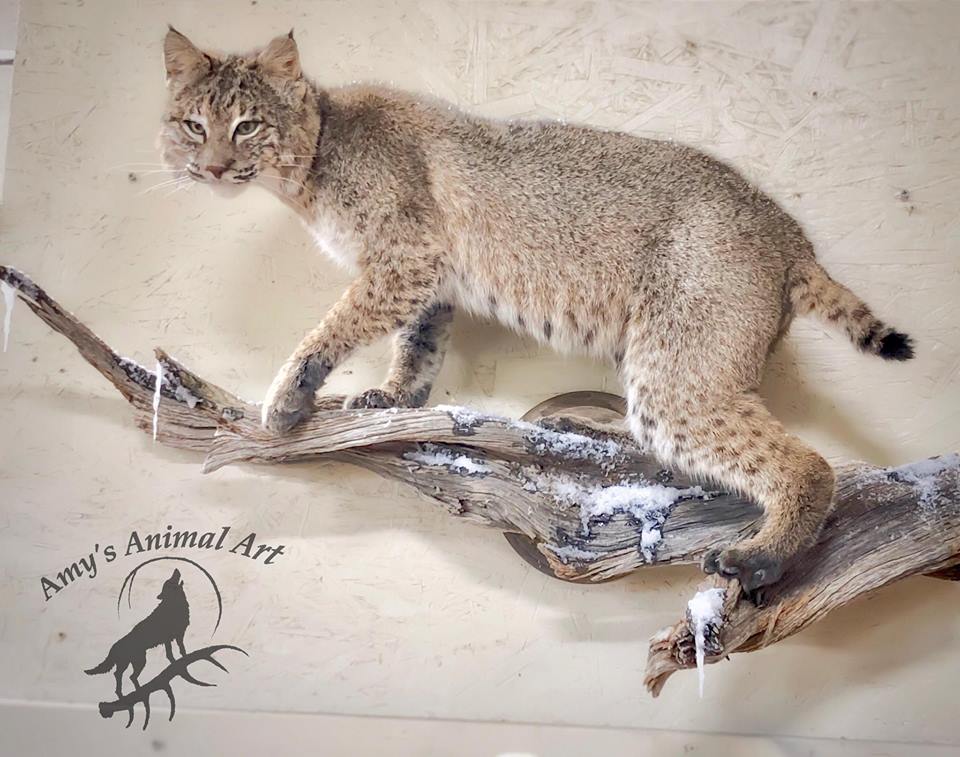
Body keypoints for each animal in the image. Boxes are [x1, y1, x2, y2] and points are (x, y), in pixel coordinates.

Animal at [85, 569, 190, 698]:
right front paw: (174, 663)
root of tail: (114, 646)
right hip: (138, 662)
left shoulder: (179, 635)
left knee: (124, 675)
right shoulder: (167, 639)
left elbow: (182, 649)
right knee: (125, 675)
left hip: (131, 663)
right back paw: (130, 692)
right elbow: (170, 654)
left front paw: (185, 658)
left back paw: (126, 692)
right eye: (170, 581)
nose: (176, 569)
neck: (174, 604)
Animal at [159, 28, 913, 592]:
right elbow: (417, 342)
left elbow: (341, 320)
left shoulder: (405, 256)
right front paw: (391, 396)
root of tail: (790, 231)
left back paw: (760, 556)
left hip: (675, 374)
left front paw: (289, 395)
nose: (214, 168)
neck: (309, 164)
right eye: (194, 125)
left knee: (810, 463)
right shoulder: (428, 276)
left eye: (247, 126)